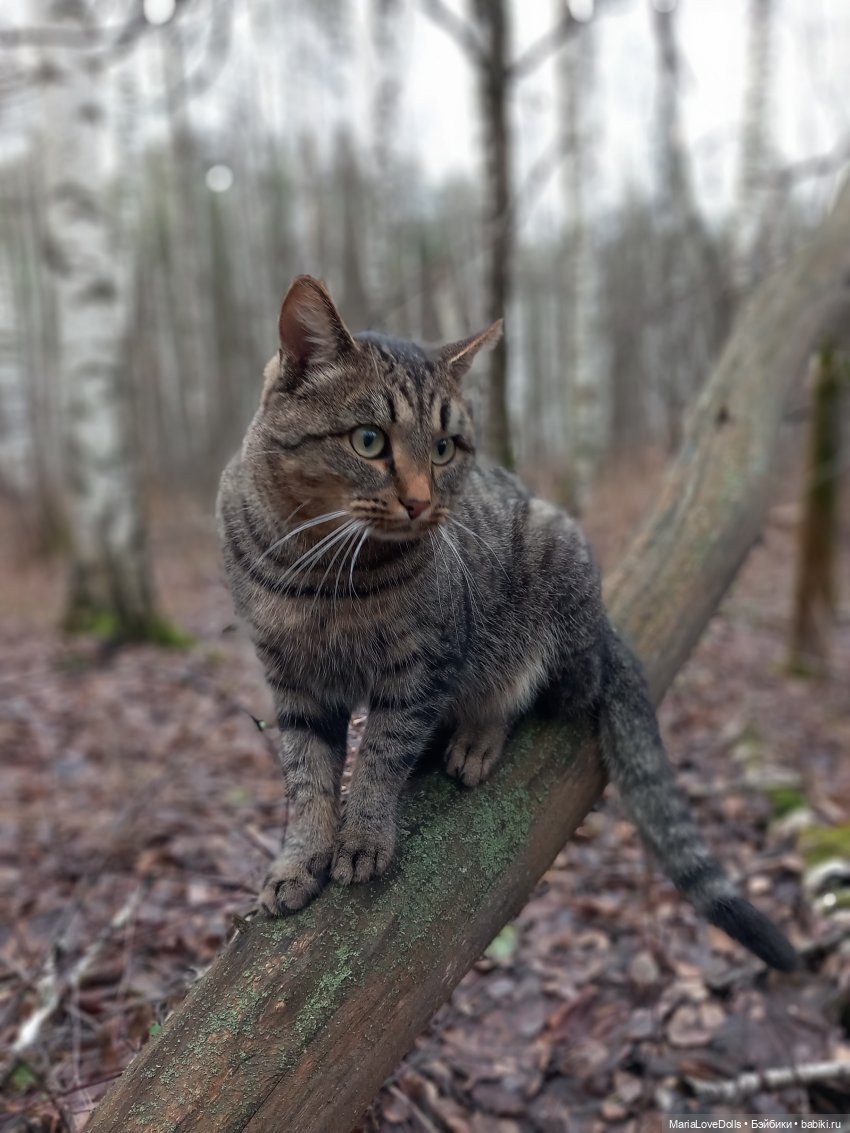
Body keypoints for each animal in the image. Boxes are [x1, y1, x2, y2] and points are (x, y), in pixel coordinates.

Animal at [216, 274, 797, 971]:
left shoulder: (425, 662)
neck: (321, 570)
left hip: (554, 590)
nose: (420, 502)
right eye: (369, 440)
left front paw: (363, 836)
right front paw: (300, 860)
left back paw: (476, 737)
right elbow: (307, 778)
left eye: (443, 450)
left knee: (547, 693)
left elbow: (381, 751)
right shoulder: (292, 682)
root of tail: (605, 622)